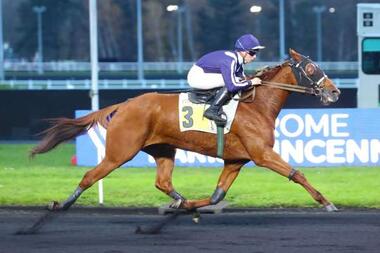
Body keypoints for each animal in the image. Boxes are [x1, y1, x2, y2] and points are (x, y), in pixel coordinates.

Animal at [31, 49, 342, 211]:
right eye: (311, 69)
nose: (335, 92)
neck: (257, 106)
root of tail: (124, 104)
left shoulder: (236, 160)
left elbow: (217, 195)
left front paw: (189, 205)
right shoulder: (262, 154)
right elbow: (297, 174)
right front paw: (327, 202)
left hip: (163, 149)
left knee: (162, 182)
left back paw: (179, 201)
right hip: (120, 151)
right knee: (90, 175)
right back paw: (62, 204)